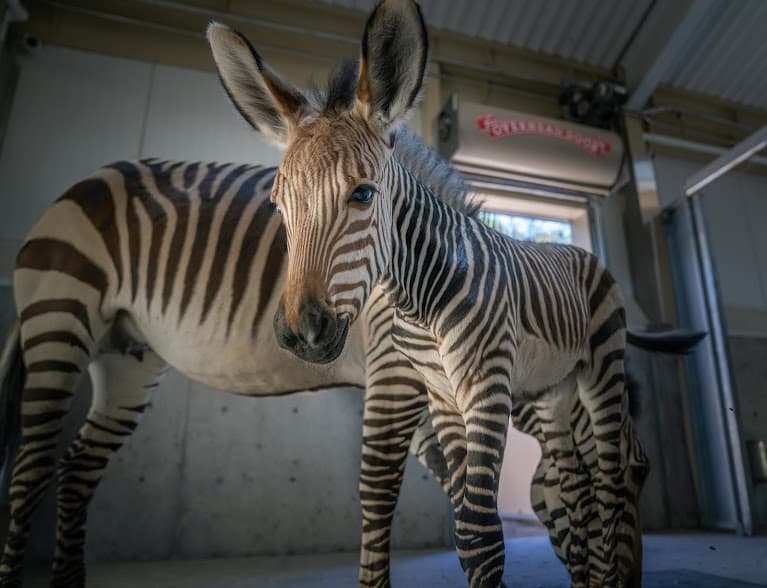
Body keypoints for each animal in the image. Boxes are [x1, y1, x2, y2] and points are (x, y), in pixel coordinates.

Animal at [205, 1, 699, 585]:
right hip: (553, 391)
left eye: (363, 194)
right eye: (278, 206)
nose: (303, 333)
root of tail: (579, 251)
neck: (420, 300)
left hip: (600, 369)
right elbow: (466, 526)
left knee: (614, 469)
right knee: (575, 482)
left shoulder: (485, 386)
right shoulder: (441, 396)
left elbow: (480, 533)